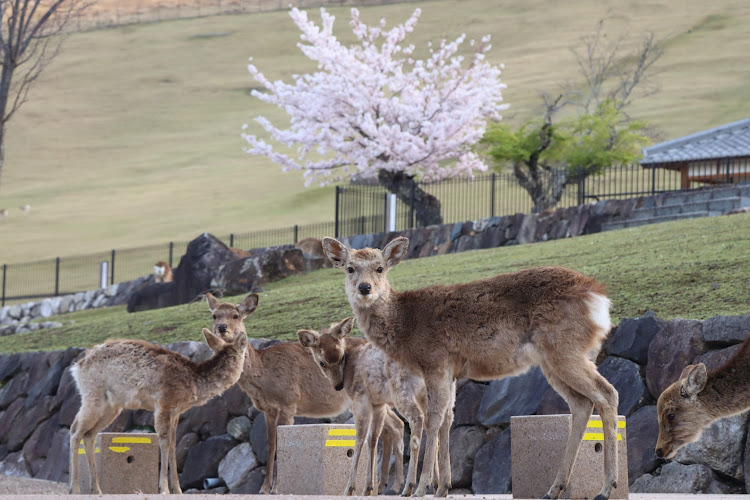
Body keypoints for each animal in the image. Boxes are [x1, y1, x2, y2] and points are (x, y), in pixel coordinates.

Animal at [68, 326, 248, 494]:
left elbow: (174, 444)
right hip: (92, 395)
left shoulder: (176, 411)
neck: (192, 385)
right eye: (244, 353)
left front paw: (178, 489)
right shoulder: (164, 403)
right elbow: (164, 441)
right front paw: (164, 488)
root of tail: (77, 367)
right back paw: (75, 488)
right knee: (75, 429)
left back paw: (97, 489)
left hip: (111, 407)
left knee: (89, 434)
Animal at [204, 292, 406, 494]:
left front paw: (276, 488)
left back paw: (394, 485)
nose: (221, 328)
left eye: (235, 315)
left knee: (396, 425)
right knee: (392, 427)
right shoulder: (268, 410)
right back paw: (384, 485)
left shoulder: (288, 402)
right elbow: (270, 444)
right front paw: (264, 488)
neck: (264, 377)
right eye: (214, 315)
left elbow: (279, 443)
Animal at [300, 316, 440, 496]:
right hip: (428, 394)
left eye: (341, 356)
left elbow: (360, 439)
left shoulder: (361, 399)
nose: (338, 385)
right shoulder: (378, 403)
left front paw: (349, 488)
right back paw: (437, 484)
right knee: (435, 423)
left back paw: (410, 486)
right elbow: (373, 439)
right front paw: (367, 487)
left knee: (417, 419)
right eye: (322, 362)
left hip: (402, 389)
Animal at [324, 235, 624, 500]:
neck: (406, 326)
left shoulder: (435, 360)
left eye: (380, 268)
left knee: (607, 393)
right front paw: (443, 487)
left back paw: (606, 488)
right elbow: (448, 419)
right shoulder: (452, 372)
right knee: (582, 403)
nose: (365, 288)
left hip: (564, 348)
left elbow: (433, 419)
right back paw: (555, 489)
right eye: (350, 268)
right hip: (553, 360)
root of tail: (600, 299)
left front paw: (422, 488)